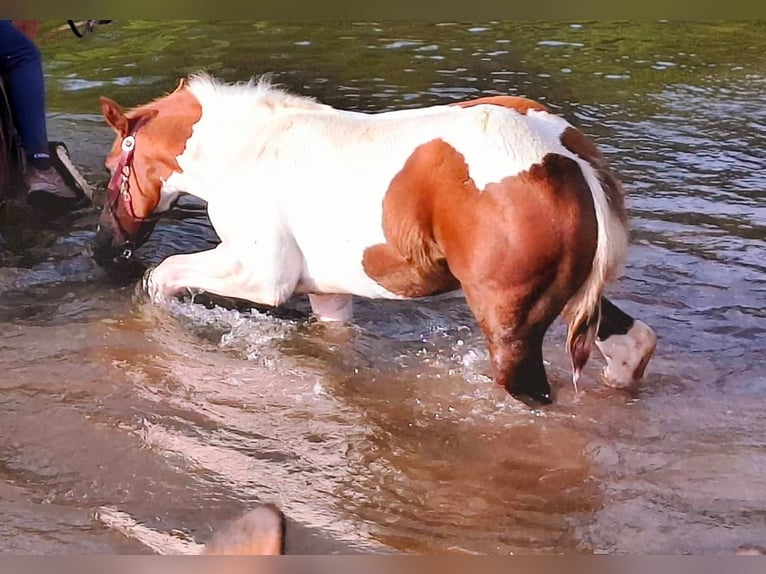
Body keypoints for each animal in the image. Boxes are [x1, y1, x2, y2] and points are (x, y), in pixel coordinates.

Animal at [92, 74, 657, 405]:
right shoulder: (329, 297)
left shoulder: (261, 276)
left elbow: (162, 276)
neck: (248, 150)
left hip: (510, 327)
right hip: (568, 299)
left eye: (111, 166)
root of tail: (566, 155)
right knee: (634, 344)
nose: (102, 248)